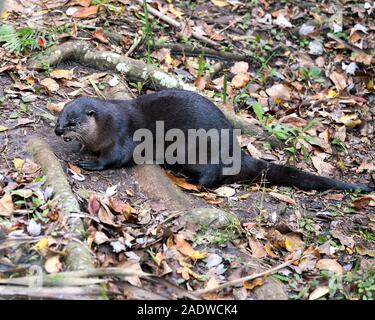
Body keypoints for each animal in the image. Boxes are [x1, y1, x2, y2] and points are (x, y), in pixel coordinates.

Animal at [54, 89, 374, 191]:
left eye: (72, 121)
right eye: (59, 117)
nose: (58, 131)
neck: (104, 127)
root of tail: (236, 152)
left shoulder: (122, 136)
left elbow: (115, 158)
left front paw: (91, 163)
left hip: (205, 155)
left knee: (213, 179)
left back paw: (188, 177)